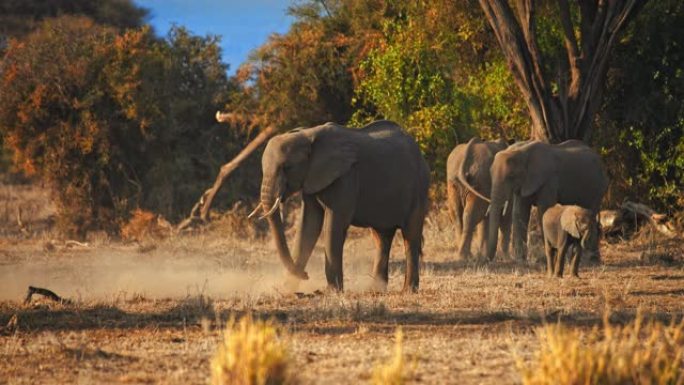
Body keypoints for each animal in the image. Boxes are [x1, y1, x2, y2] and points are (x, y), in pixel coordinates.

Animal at [248, 120, 430, 292]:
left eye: (288, 167)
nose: (306, 275)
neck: (307, 134)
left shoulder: (346, 177)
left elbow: (333, 224)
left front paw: (332, 291)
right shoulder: (312, 178)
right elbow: (309, 225)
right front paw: (287, 289)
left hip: (419, 188)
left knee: (410, 236)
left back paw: (408, 291)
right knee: (382, 238)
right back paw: (375, 289)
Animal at [468, 140, 608, 262]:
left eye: (511, 176)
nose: (485, 260)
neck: (522, 152)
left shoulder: (548, 180)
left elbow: (544, 211)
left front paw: (548, 257)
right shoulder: (524, 183)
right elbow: (520, 213)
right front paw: (520, 259)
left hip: (598, 187)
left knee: (591, 213)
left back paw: (591, 259)